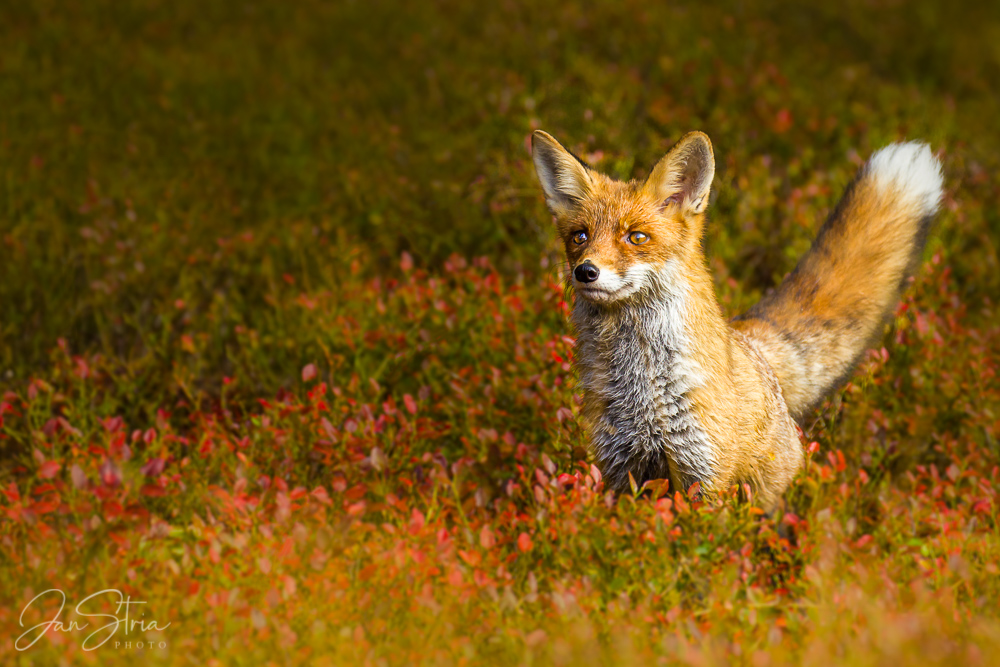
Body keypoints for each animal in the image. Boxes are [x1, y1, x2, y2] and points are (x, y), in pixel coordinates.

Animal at [536, 128, 940, 508]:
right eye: (580, 237)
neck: (641, 387)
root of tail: (749, 341)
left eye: (636, 237)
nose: (586, 272)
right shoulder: (621, 468)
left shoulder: (703, 471)